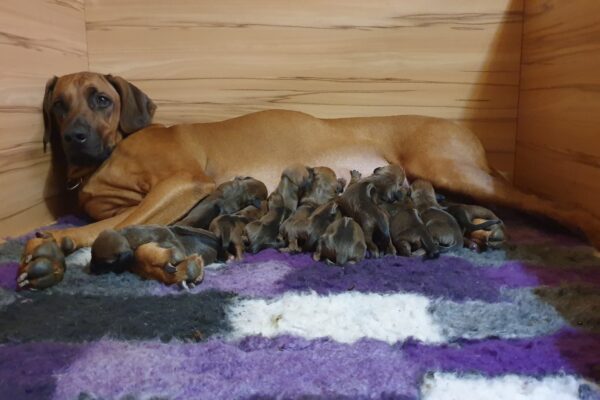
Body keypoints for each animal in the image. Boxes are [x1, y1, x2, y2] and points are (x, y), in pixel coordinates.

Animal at [17, 72, 600, 290]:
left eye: (101, 99)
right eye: (58, 103)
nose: (74, 137)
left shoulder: (181, 184)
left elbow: (112, 225)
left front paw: (57, 242)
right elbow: (130, 231)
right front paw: (160, 260)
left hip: (453, 168)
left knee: (545, 203)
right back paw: (481, 230)